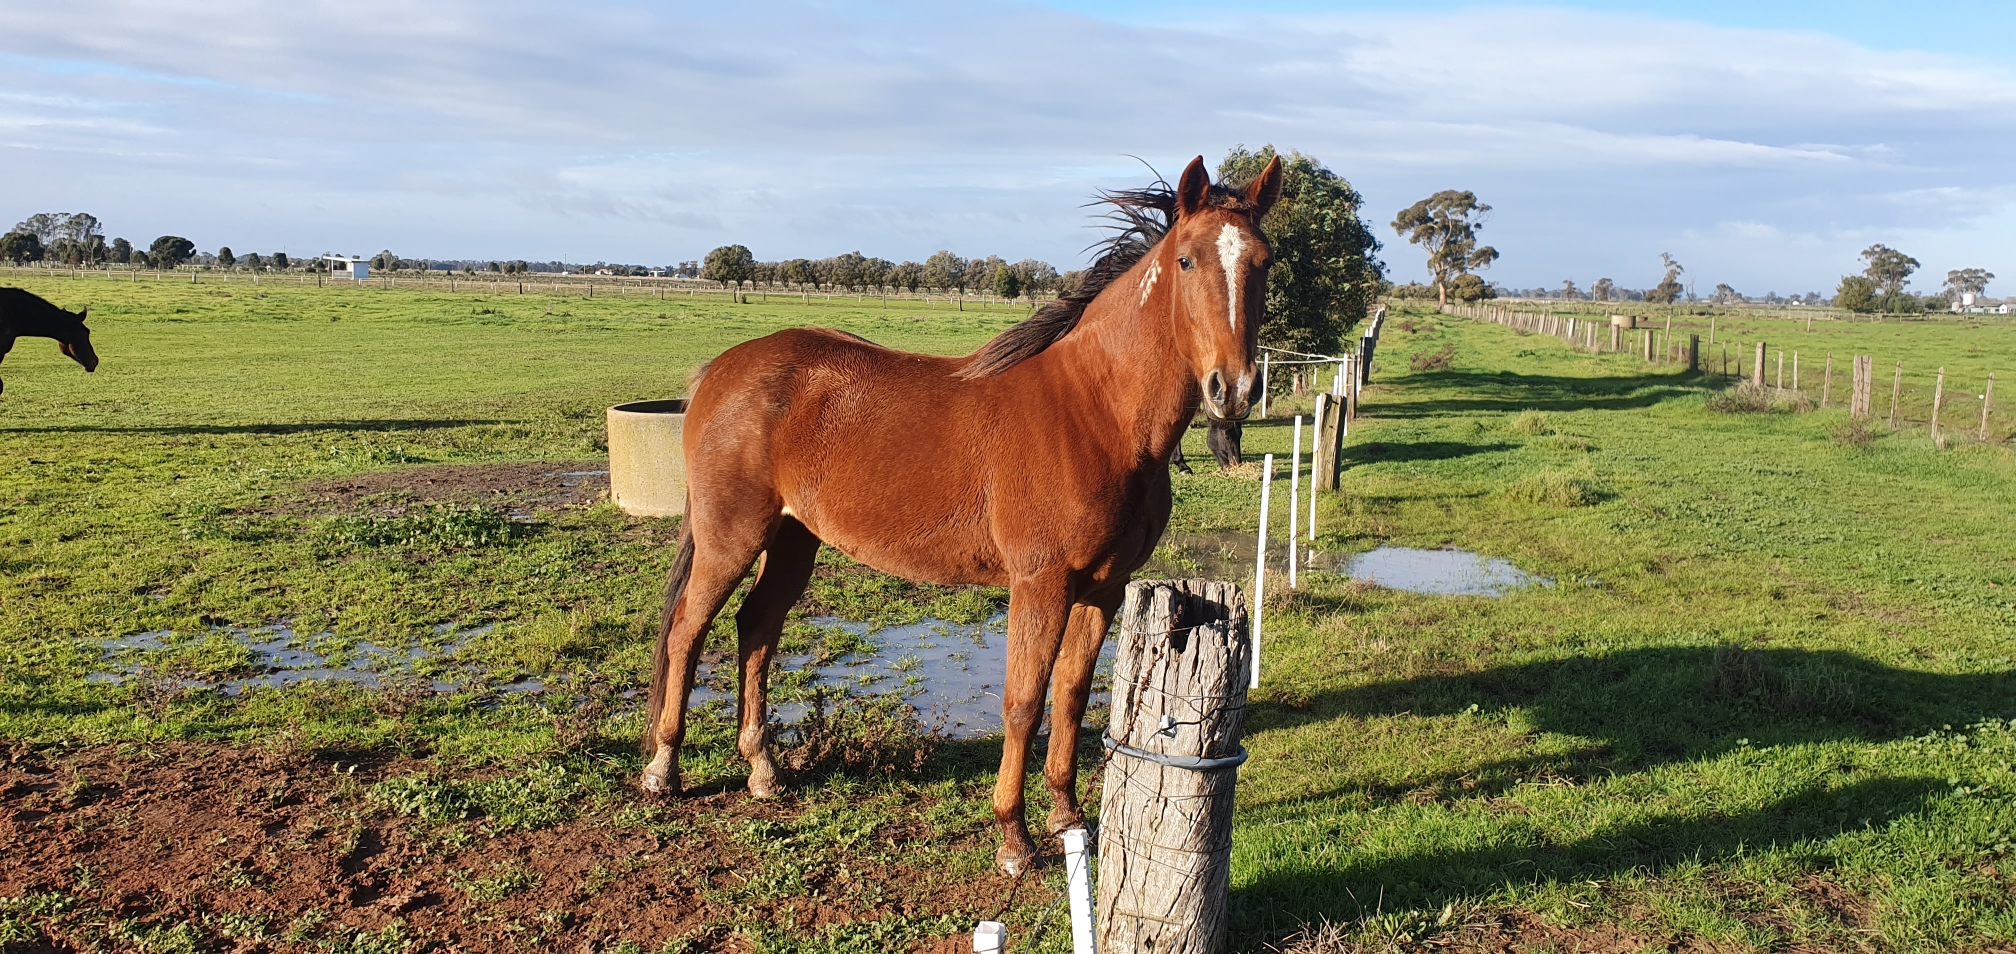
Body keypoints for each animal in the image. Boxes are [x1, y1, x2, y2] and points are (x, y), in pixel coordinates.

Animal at [641, 155, 1281, 874]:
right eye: (1187, 260)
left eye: (1264, 260)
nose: (1234, 388)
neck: (1095, 413)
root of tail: (720, 371)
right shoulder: (1040, 584)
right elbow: (1023, 702)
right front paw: (1014, 838)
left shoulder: (1105, 588)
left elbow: (1070, 696)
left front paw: (1066, 817)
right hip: (731, 538)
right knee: (687, 631)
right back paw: (664, 769)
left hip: (793, 538)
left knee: (756, 628)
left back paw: (762, 770)